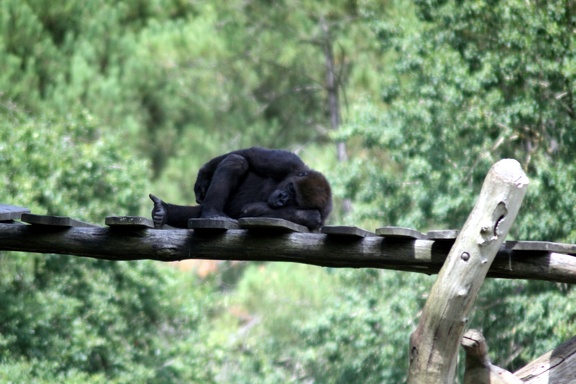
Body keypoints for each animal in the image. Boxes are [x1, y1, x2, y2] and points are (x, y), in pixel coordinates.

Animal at [148, 147, 332, 230]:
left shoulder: (321, 215)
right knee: (236, 161)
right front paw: (204, 176)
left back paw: (164, 211)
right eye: (291, 188)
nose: (282, 197)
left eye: (294, 199)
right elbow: (250, 154)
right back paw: (211, 212)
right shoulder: (287, 162)